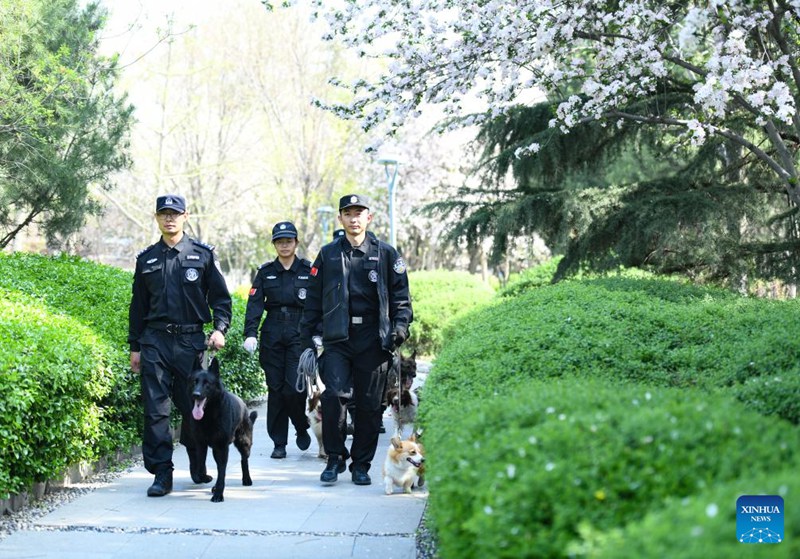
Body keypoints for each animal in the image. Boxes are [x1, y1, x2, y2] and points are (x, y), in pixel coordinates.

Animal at [188, 356, 256, 506]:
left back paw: (246, 479)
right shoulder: (201, 445)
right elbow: (201, 467)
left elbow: (222, 471)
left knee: (244, 460)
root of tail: (244, 405)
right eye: (195, 381)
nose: (196, 395)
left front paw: (218, 493)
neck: (208, 415)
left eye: (207, 383)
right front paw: (205, 478)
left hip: (244, 443)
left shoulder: (221, 448)